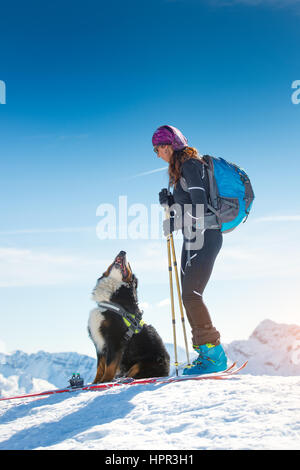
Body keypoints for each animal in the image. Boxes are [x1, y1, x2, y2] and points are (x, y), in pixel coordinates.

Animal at [88, 252, 170, 384]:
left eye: (129, 265)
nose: (123, 252)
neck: (111, 302)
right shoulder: (99, 343)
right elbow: (100, 367)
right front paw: (96, 382)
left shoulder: (115, 339)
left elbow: (109, 365)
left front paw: (105, 381)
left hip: (143, 363)